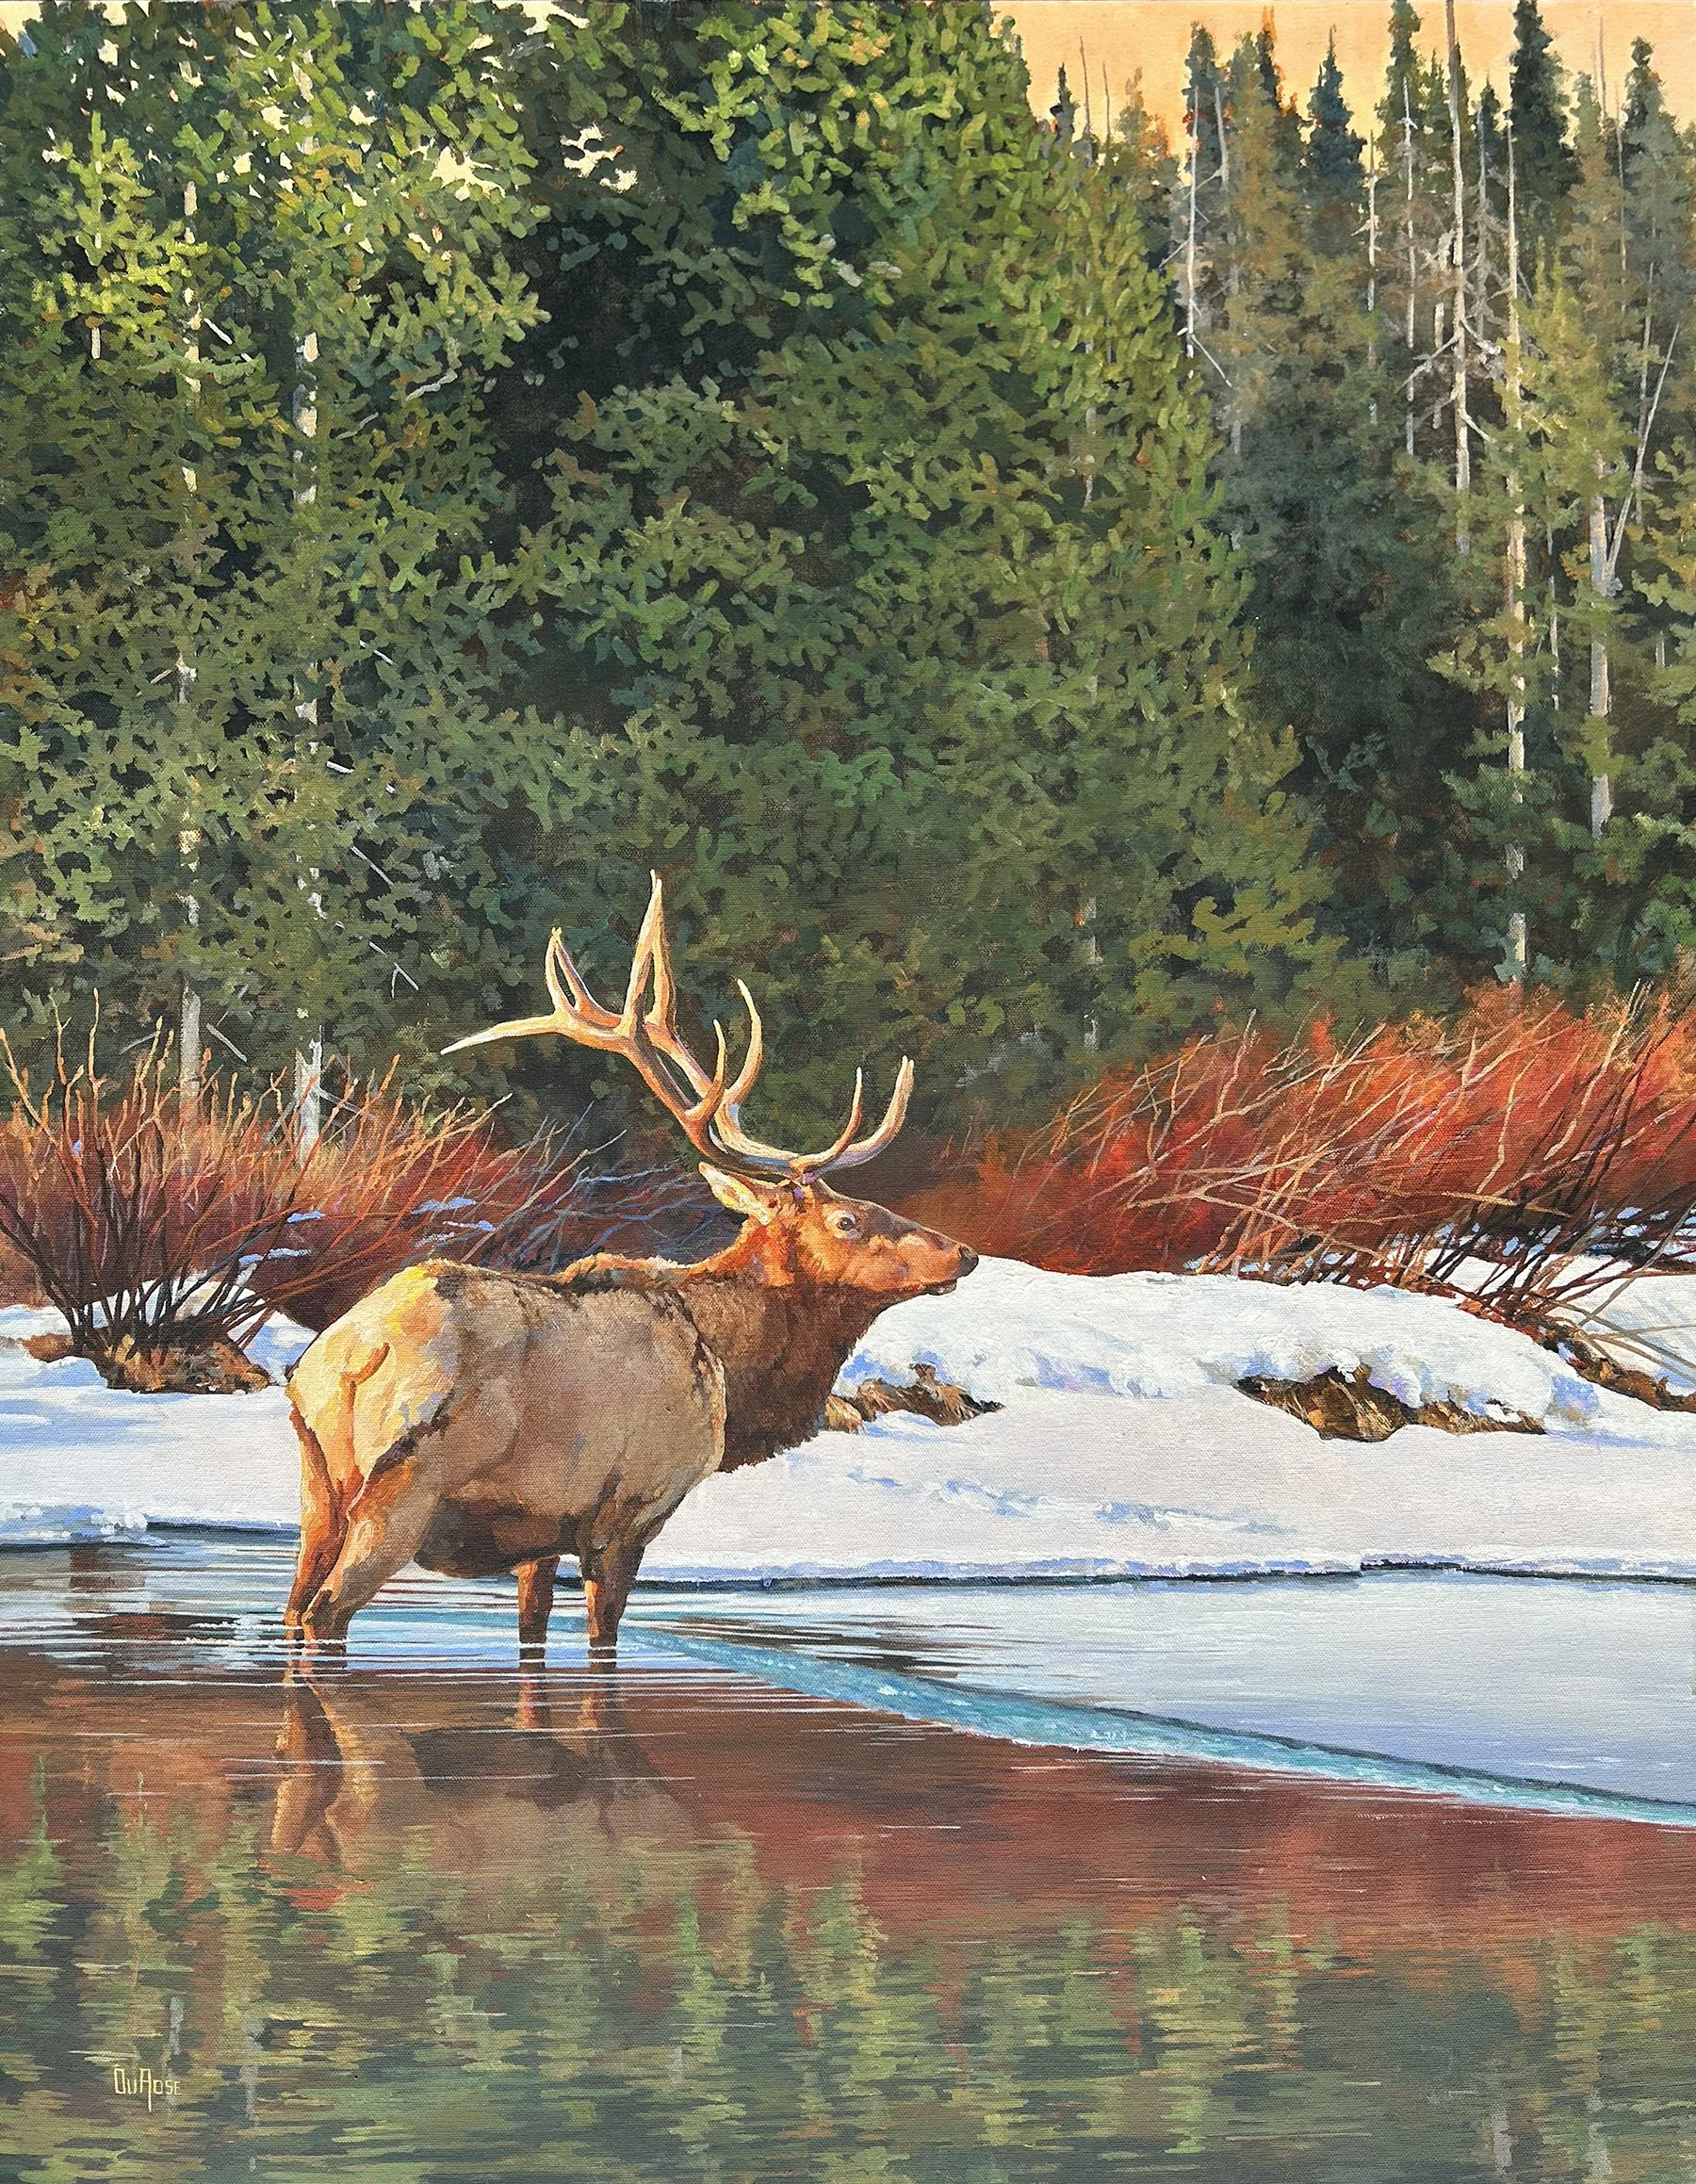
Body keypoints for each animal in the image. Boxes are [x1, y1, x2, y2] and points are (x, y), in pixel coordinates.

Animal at [283, 875, 978, 1657]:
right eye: (847, 1220)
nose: (964, 1251)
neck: (730, 1371)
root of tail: (349, 1357)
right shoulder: (632, 1509)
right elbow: (603, 1641)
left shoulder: (541, 1533)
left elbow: (533, 1639)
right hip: (405, 1483)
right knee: (324, 1614)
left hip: (316, 1485)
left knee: (294, 1607)